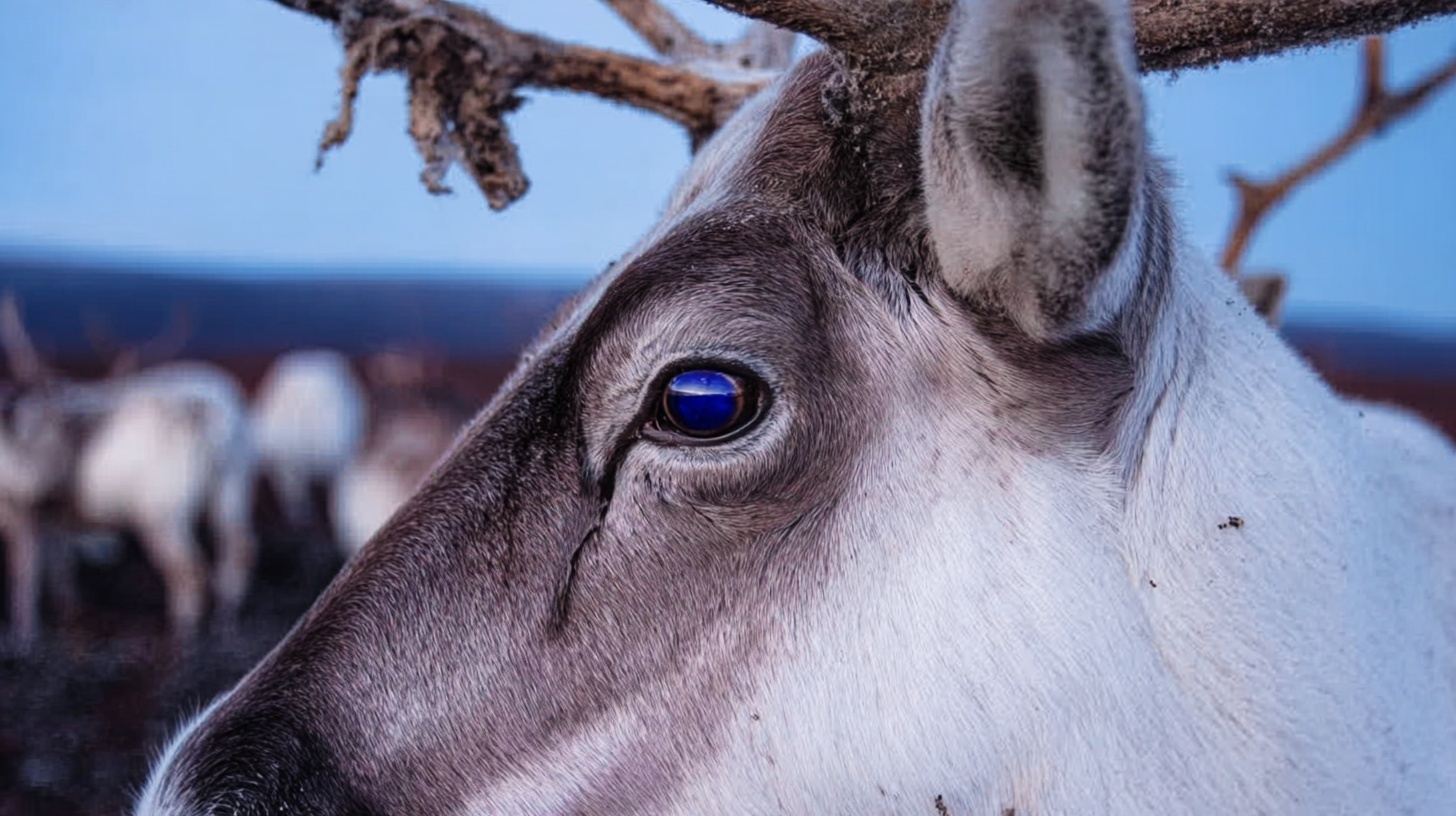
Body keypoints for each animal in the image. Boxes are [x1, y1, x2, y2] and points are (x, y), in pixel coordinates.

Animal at [0, 294, 258, 646]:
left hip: (161, 512)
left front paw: (24, 634)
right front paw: (68, 610)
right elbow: (59, 563)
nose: (47, 481)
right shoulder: (54, 515)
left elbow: (25, 571)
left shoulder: (26, 509)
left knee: (189, 570)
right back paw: (225, 621)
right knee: (238, 548)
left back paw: (182, 631)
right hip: (233, 484)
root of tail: (206, 417)